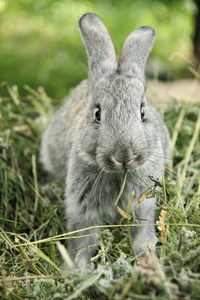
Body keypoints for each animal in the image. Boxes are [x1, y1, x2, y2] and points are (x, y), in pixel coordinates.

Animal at [40, 12, 170, 272]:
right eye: (97, 114)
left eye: (142, 113)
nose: (124, 155)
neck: (118, 174)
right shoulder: (82, 208)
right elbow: (83, 239)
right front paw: (77, 270)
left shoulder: (142, 204)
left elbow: (142, 233)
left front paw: (149, 258)